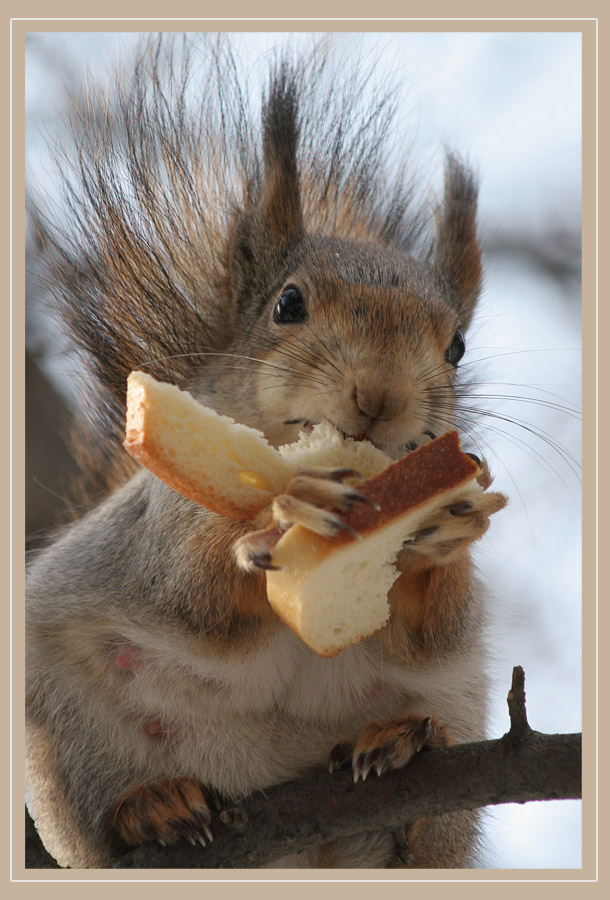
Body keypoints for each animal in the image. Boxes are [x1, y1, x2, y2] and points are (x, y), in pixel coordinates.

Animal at [26, 34, 507, 869]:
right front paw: (282, 513)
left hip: (460, 728)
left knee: (426, 836)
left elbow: (431, 632)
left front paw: (446, 533)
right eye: (288, 304)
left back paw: (403, 745)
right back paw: (148, 808)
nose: (380, 397)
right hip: (59, 735)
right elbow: (193, 587)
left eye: (457, 347)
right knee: (98, 823)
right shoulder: (159, 524)